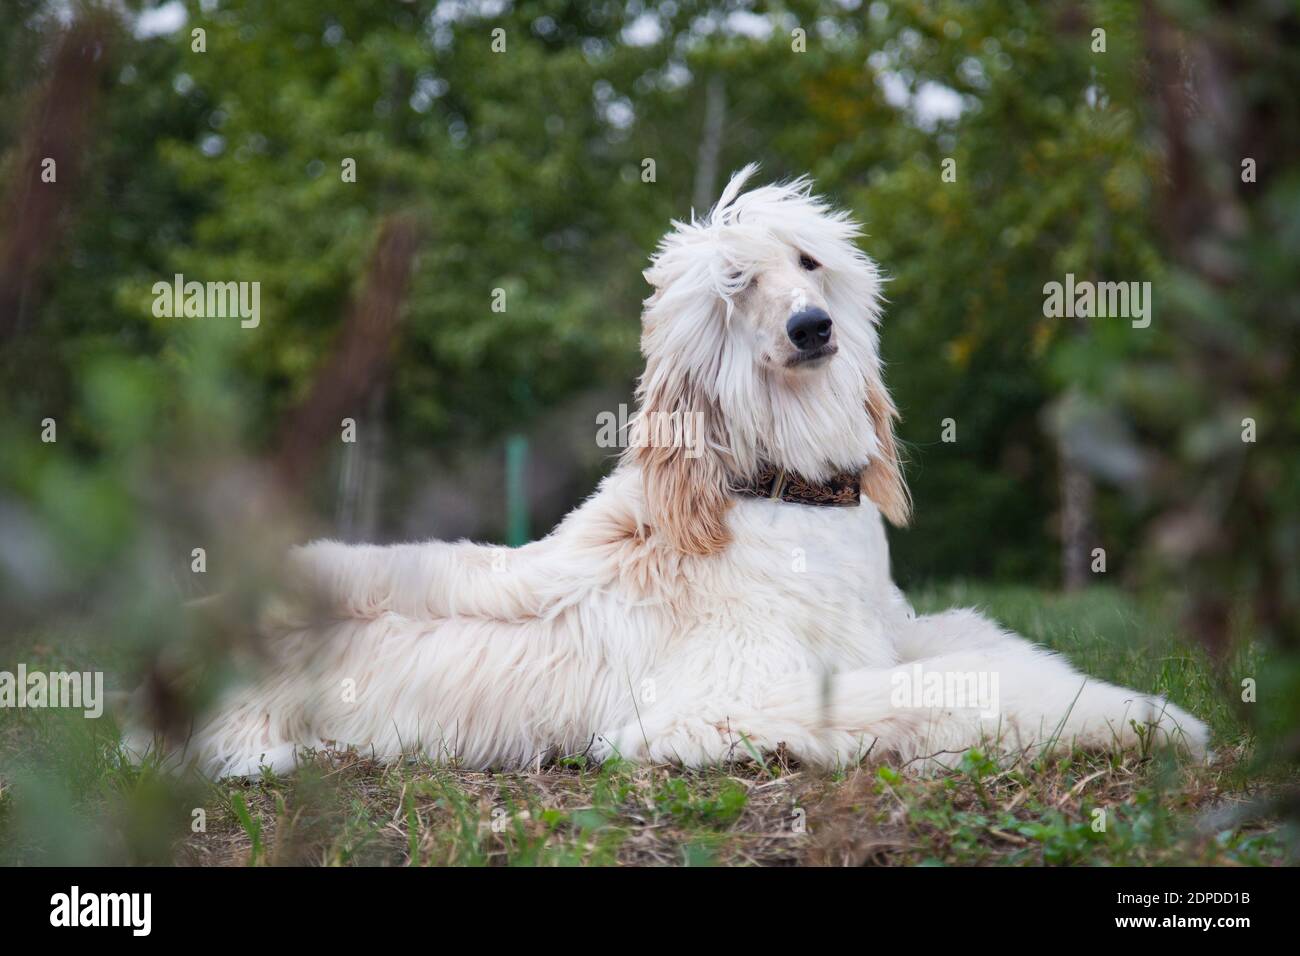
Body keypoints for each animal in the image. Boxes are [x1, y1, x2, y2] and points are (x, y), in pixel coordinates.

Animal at [131, 164, 1206, 780]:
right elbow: (958, 687)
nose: (812, 330)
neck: (774, 493)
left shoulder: (886, 631)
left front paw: (1123, 705)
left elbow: (992, 646)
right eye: (736, 286)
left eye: (808, 262)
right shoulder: (729, 701)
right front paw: (1150, 721)